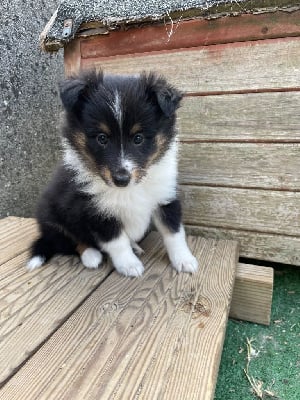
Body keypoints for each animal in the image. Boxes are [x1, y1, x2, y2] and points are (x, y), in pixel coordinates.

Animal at [27, 69, 198, 276]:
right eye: (102, 138)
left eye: (138, 138)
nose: (121, 179)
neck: (130, 188)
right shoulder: (96, 210)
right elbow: (116, 241)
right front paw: (129, 265)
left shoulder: (165, 196)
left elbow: (174, 232)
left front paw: (184, 260)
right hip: (52, 216)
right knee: (69, 241)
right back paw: (91, 255)